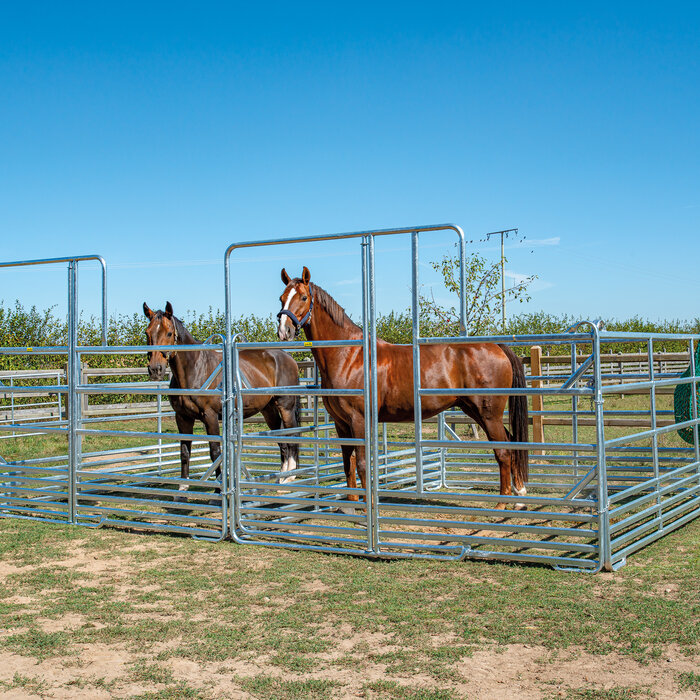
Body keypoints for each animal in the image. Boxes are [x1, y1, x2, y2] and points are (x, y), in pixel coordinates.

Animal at [143, 302, 301, 489]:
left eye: (169, 333)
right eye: (147, 332)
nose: (155, 369)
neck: (195, 369)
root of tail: (287, 357)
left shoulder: (210, 416)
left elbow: (215, 451)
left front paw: (218, 490)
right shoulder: (182, 417)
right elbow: (184, 451)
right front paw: (183, 488)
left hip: (286, 406)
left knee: (293, 435)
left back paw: (290, 477)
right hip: (268, 410)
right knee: (281, 439)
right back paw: (281, 477)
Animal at [276, 267, 529, 509]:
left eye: (303, 297)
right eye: (281, 298)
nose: (283, 331)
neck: (349, 355)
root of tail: (496, 346)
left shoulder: (359, 420)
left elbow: (362, 464)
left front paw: (366, 508)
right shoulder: (341, 423)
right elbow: (348, 462)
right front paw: (350, 506)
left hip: (489, 414)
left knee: (503, 452)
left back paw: (502, 503)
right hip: (475, 411)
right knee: (512, 444)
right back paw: (519, 496)